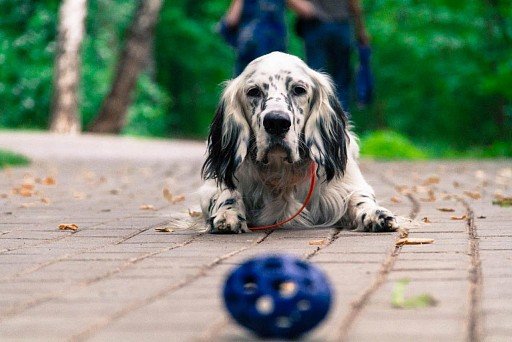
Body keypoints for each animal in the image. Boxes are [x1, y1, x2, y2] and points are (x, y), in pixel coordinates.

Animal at [200, 52, 400, 234]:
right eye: (253, 91)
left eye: (299, 89)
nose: (276, 122)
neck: (281, 170)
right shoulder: (215, 186)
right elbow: (227, 193)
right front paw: (228, 213)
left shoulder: (348, 185)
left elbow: (360, 197)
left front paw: (376, 213)